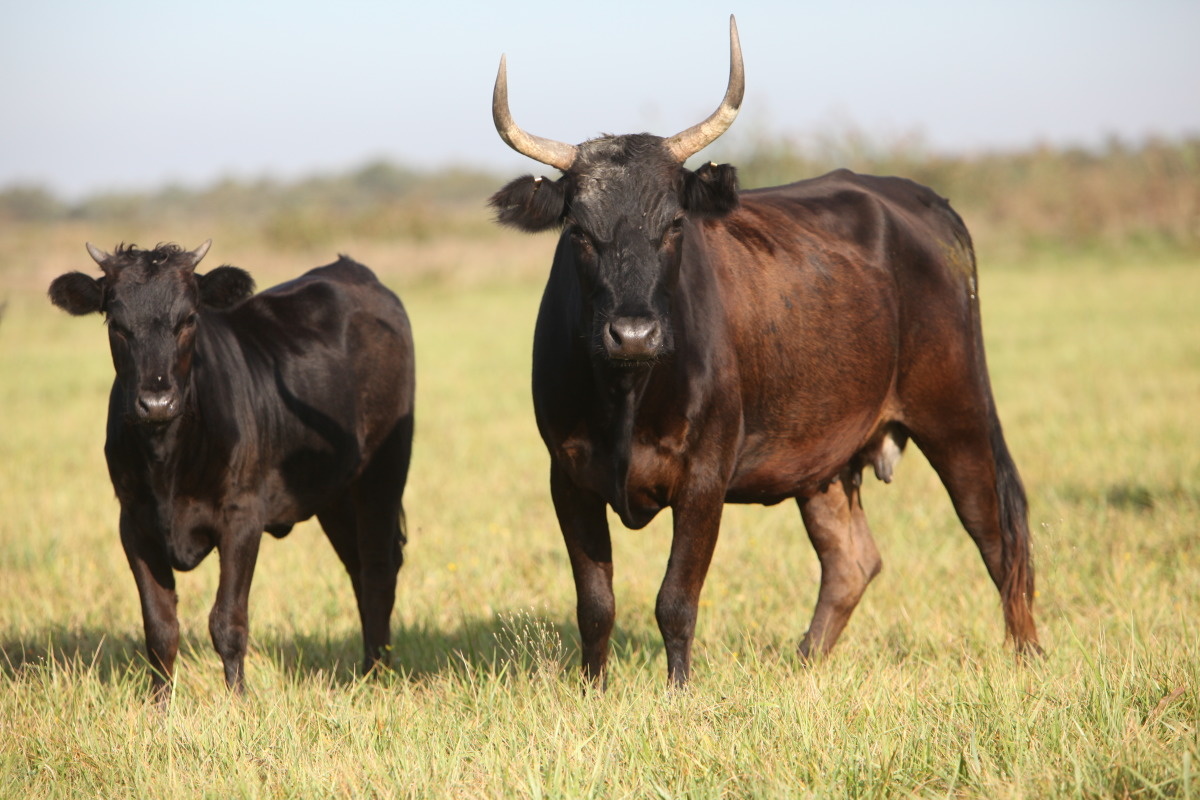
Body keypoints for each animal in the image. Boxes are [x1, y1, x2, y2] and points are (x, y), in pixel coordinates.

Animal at [48, 244, 412, 700]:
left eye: (189, 319)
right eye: (117, 323)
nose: (157, 401)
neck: (167, 459)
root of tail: (352, 270)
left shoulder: (242, 517)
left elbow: (227, 622)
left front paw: (238, 702)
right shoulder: (133, 522)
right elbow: (160, 627)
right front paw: (158, 707)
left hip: (384, 470)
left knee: (379, 568)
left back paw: (378, 674)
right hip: (335, 493)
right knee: (359, 568)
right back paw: (367, 671)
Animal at [487, 15, 1041, 686]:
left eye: (674, 224)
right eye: (578, 231)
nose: (634, 334)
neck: (627, 395)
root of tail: (919, 200)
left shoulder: (705, 475)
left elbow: (675, 600)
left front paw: (678, 693)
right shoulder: (567, 474)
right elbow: (595, 604)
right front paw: (593, 690)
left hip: (957, 415)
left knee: (1000, 537)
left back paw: (1028, 659)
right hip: (826, 456)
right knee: (852, 560)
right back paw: (804, 665)